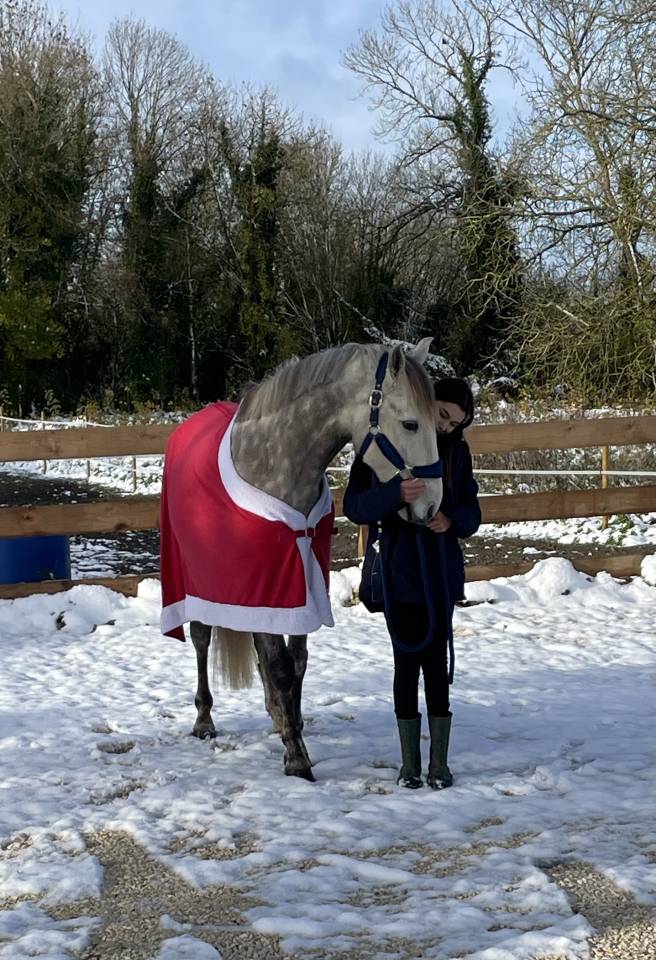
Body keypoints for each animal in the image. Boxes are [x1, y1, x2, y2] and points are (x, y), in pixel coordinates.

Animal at [160, 338, 443, 780]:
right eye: (411, 424)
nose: (431, 506)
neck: (277, 462)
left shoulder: (299, 583)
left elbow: (295, 663)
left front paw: (290, 725)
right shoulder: (265, 583)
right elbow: (278, 666)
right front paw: (296, 757)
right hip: (197, 580)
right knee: (202, 639)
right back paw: (204, 719)